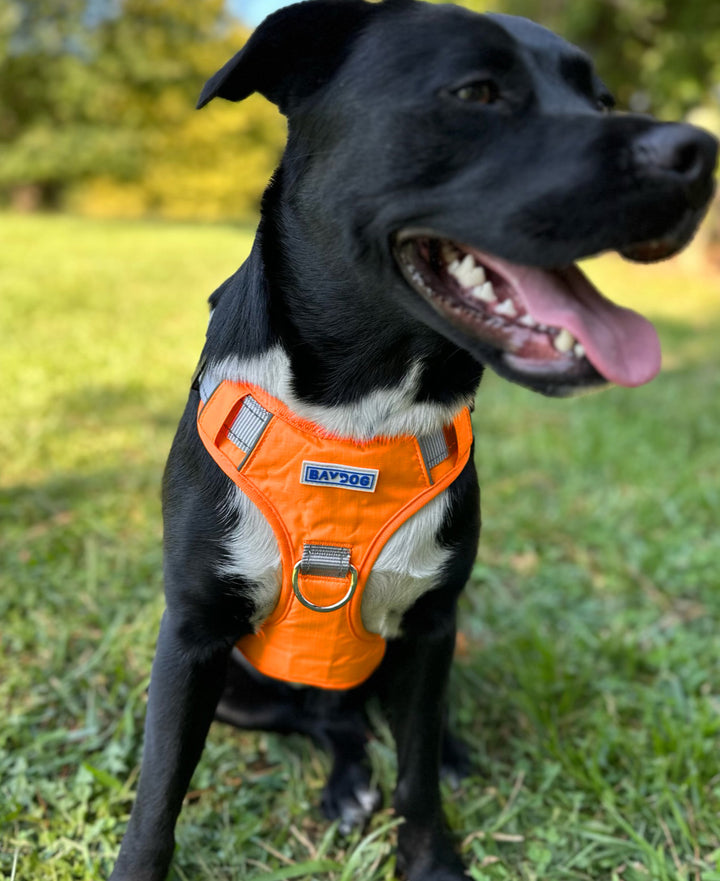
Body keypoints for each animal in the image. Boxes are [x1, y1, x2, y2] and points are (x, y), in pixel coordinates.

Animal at [109, 3, 716, 876]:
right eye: (476, 92)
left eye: (601, 101)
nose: (698, 154)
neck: (359, 413)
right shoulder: (190, 638)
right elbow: (158, 794)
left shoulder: (432, 626)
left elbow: (418, 772)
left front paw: (430, 855)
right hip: (240, 689)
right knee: (331, 719)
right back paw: (345, 778)